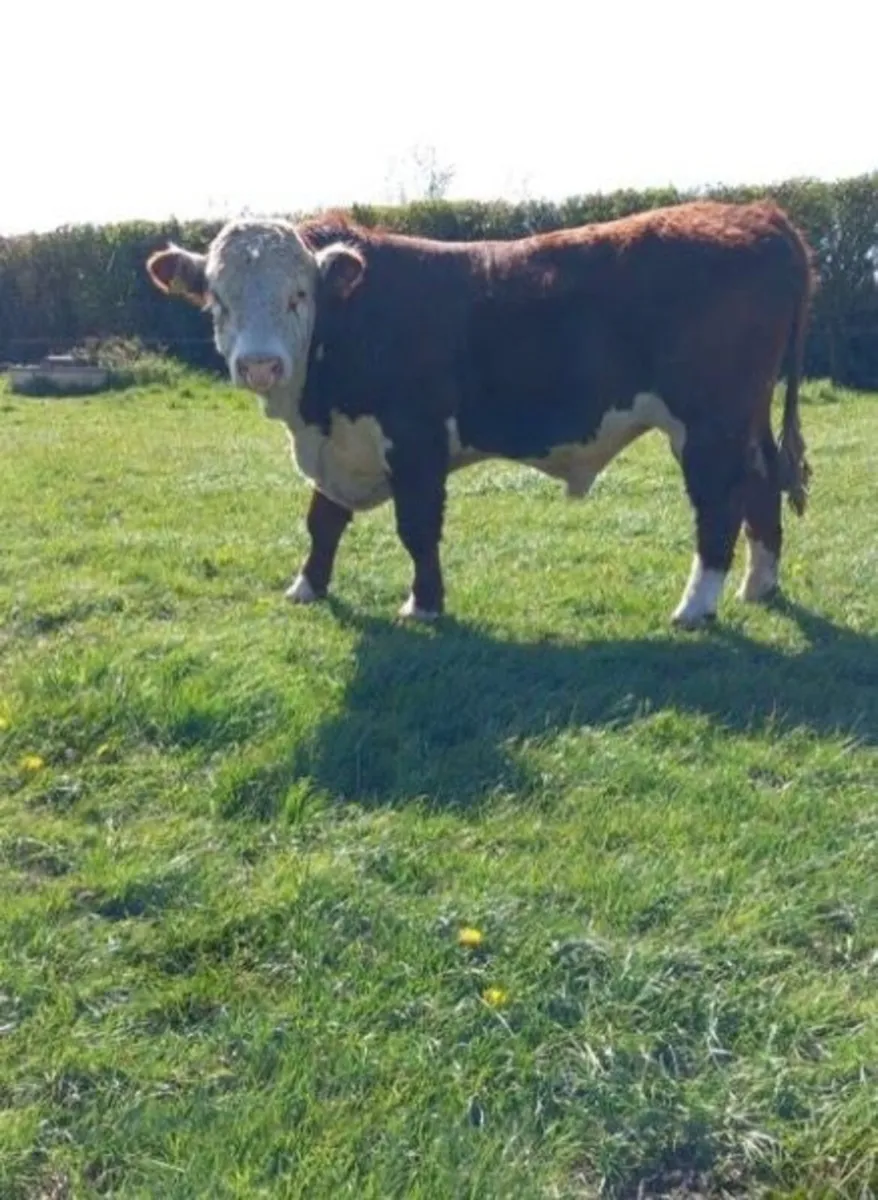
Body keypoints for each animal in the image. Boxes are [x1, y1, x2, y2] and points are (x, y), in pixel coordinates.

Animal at [146, 200, 814, 629]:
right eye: (217, 298)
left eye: (298, 295)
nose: (260, 365)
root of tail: (757, 212)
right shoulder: (341, 440)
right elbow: (323, 521)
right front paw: (307, 587)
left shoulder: (415, 438)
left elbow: (416, 527)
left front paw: (423, 604)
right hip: (745, 418)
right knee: (762, 483)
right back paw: (760, 585)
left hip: (708, 424)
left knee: (720, 503)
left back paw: (696, 606)